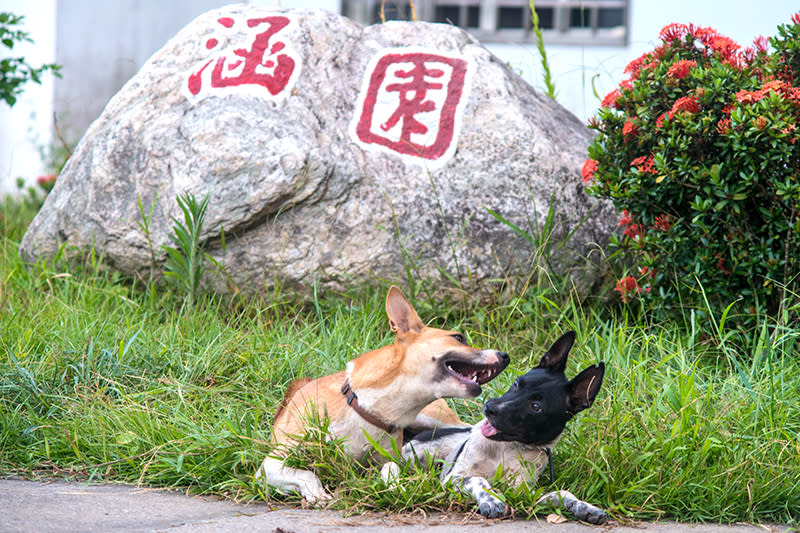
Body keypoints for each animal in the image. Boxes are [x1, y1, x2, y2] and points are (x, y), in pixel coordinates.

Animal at [256, 284, 506, 500]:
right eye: (458, 337)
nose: (505, 356)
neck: (367, 408)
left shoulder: (388, 456)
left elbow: (391, 467)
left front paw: (395, 484)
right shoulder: (270, 466)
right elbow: (307, 473)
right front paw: (317, 493)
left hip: (434, 419)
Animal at [382, 330, 608, 520]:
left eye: (536, 406)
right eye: (517, 384)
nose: (489, 407)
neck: (506, 449)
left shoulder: (526, 494)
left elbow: (562, 493)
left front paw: (585, 507)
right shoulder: (453, 478)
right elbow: (478, 480)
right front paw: (491, 499)